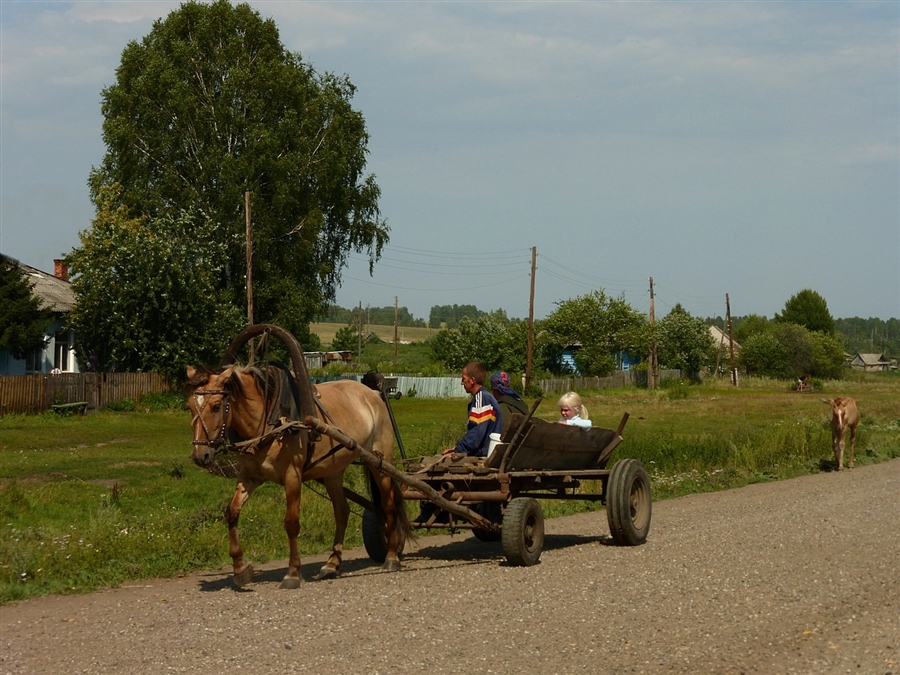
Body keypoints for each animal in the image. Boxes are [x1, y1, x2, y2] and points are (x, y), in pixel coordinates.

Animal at [187, 362, 412, 588]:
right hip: (333, 471)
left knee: (389, 506)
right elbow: (232, 512)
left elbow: (292, 523)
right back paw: (332, 564)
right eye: (189, 407)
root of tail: (372, 394)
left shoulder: (292, 476)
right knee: (342, 512)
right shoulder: (249, 476)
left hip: (379, 461)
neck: (271, 420)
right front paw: (240, 568)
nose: (200, 455)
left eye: (216, 406)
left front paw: (293, 573)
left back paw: (392, 556)